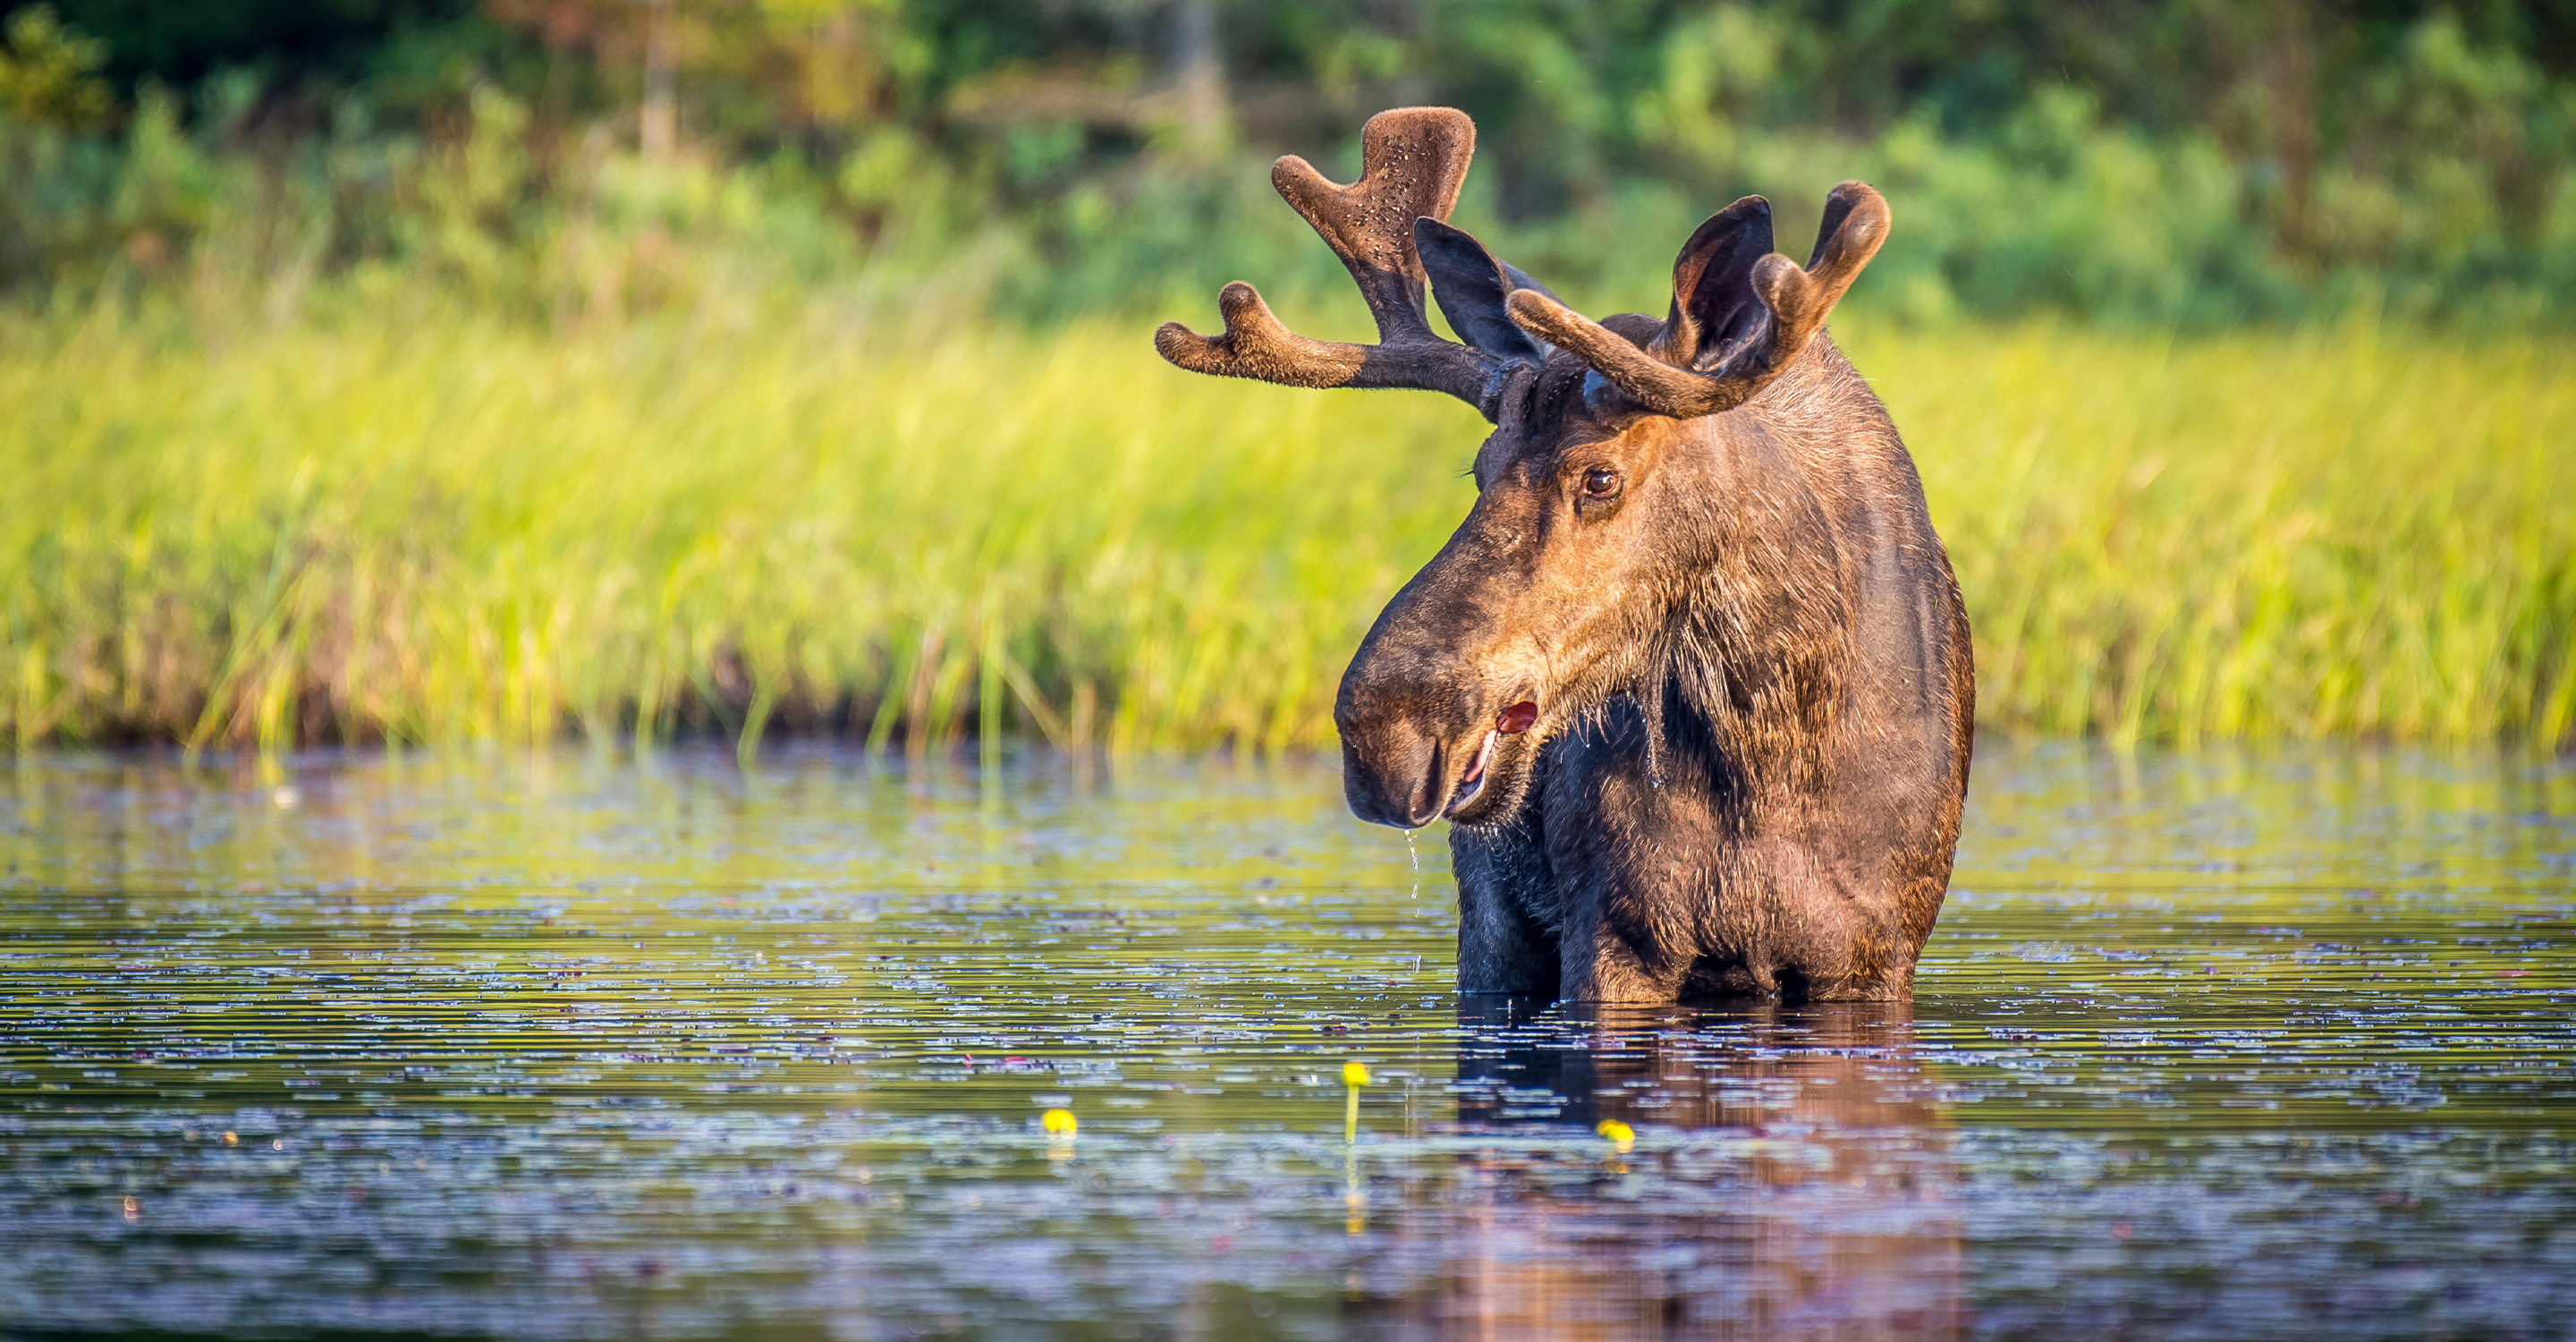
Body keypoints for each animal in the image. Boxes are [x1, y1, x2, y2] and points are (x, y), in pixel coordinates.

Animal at [1148, 107, 1968, 1004]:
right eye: (1479, 469)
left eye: (1600, 476)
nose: (1386, 732)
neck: (1777, 751)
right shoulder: (1612, 933)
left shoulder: (1874, 953)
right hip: (1490, 923)